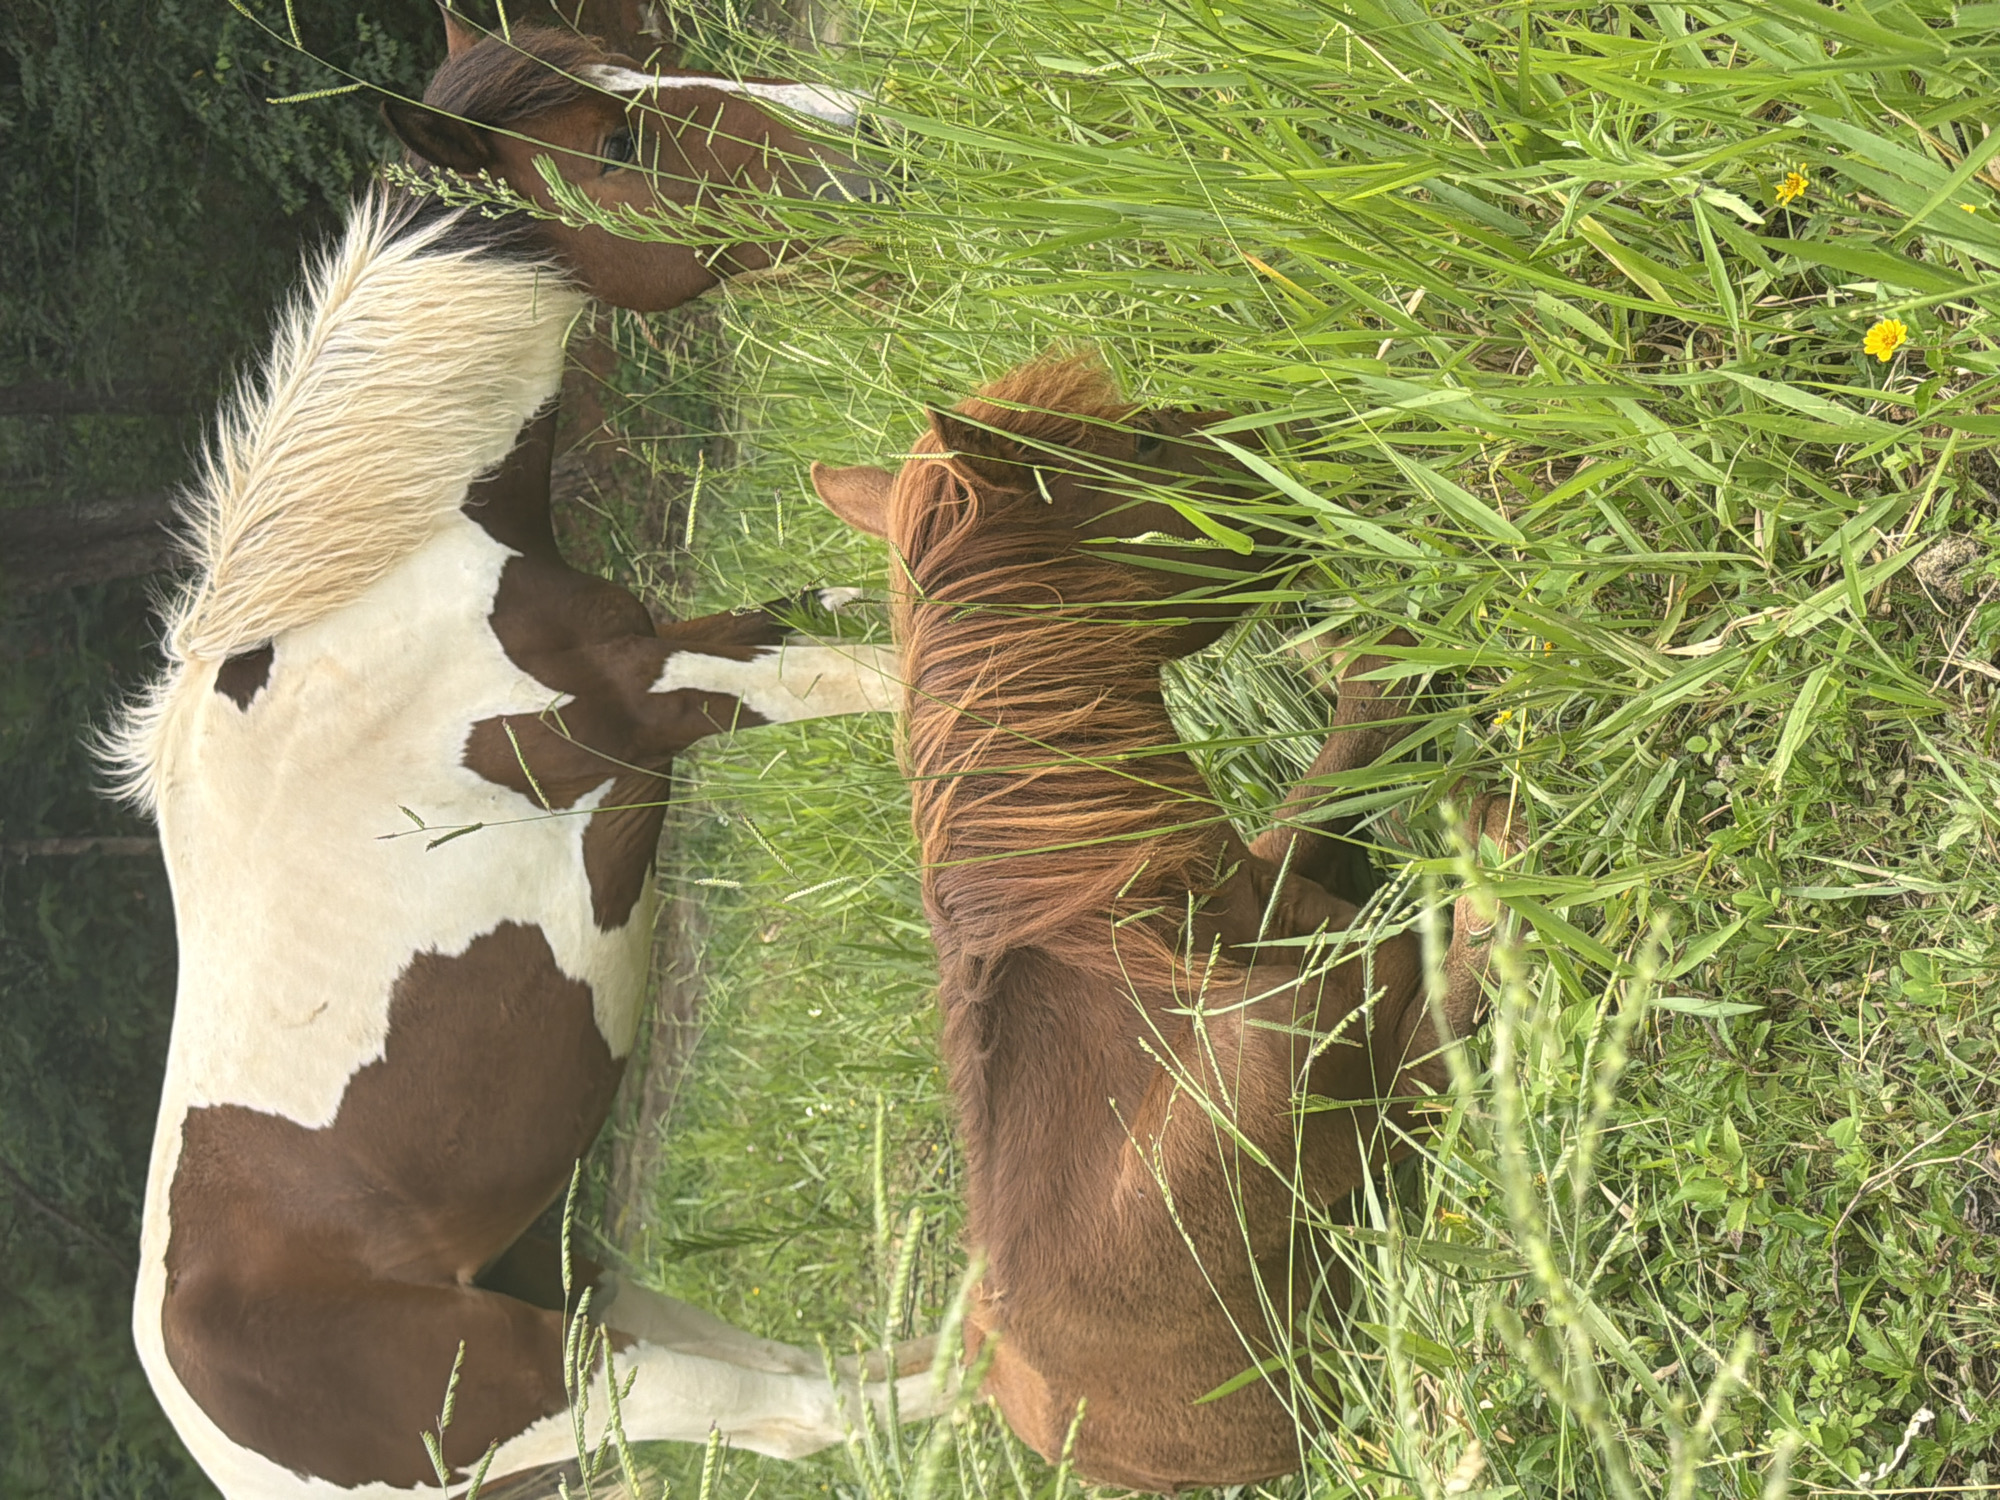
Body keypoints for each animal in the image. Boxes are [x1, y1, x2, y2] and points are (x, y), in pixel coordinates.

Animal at [109, 22, 938, 1500]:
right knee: (812, 1411)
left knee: (802, 1377)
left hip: (569, 1281)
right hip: (572, 1372)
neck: (376, 596)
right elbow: (887, 678)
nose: (860, 132)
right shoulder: (666, 699)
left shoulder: (702, 635)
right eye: (612, 146)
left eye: (624, 66)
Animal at [810, 354, 1522, 1491]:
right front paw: (1495, 846)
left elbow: (1340, 756)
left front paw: (1375, 648)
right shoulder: (1387, 1114)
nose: (1305, 436)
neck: (1153, 970)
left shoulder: (1275, 877)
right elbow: (1462, 976)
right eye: (1142, 445)